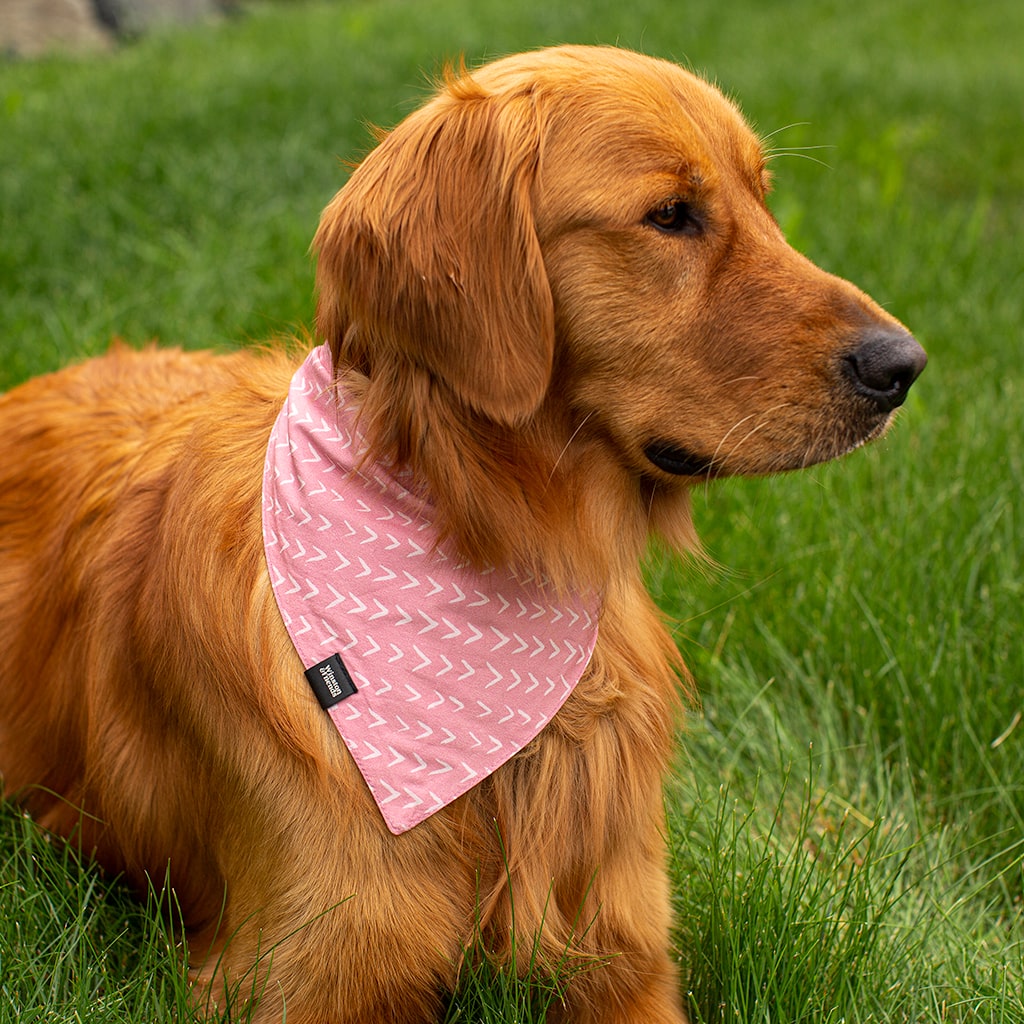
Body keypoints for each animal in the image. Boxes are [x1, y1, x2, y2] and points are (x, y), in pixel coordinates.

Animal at [0, 44, 925, 1019]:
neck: (504, 545)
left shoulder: (627, 955)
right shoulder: (306, 970)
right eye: (670, 215)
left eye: (763, 199)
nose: (903, 365)